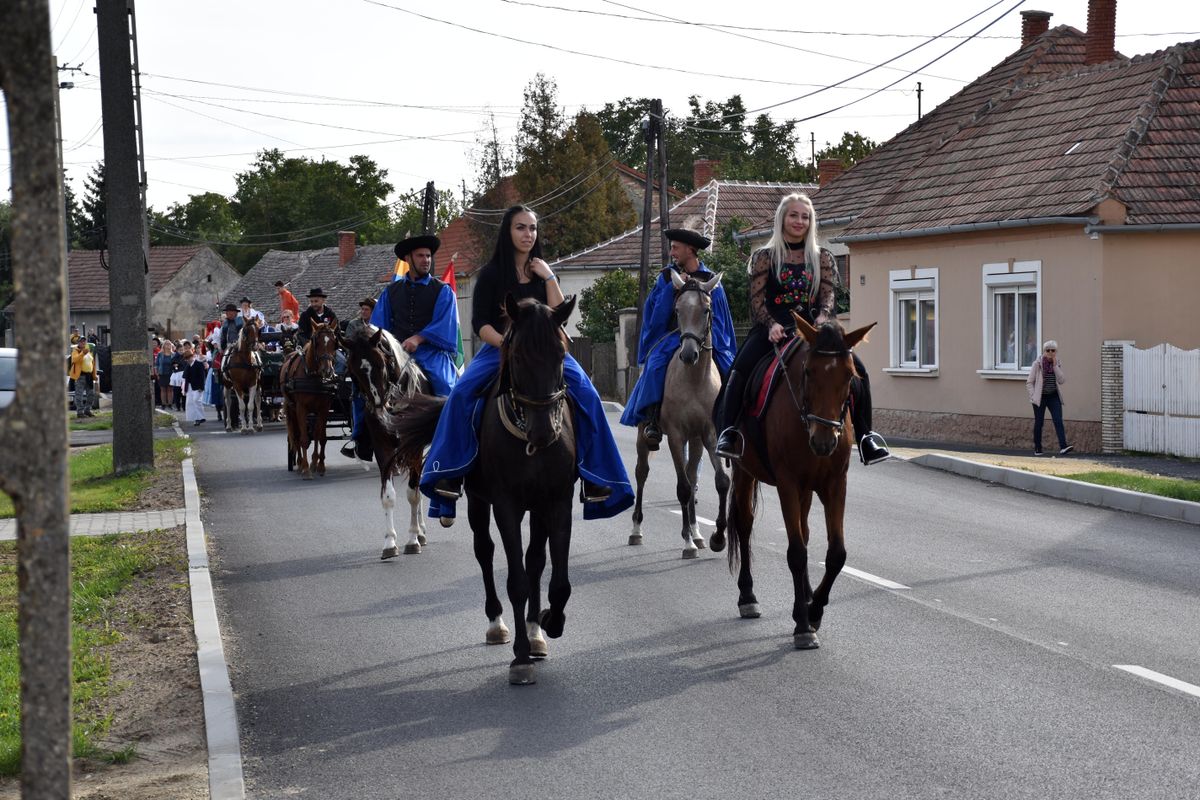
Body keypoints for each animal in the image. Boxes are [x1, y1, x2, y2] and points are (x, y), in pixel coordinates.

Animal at [279, 321, 338, 482]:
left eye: (334, 342)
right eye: (316, 342)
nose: (327, 371)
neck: (313, 375)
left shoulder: (324, 408)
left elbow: (321, 437)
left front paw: (320, 465)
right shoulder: (301, 408)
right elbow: (304, 439)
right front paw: (305, 469)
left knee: (314, 434)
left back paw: (314, 462)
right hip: (292, 409)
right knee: (297, 435)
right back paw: (300, 464)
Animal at [343, 328, 436, 561]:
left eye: (380, 363)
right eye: (353, 370)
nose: (378, 405)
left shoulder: (414, 447)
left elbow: (413, 494)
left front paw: (412, 539)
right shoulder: (382, 447)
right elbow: (388, 496)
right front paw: (390, 542)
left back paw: (420, 532)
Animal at [396, 297, 578, 686]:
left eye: (561, 353)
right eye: (519, 355)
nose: (544, 433)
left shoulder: (557, 502)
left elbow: (557, 581)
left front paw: (549, 623)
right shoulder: (505, 505)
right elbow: (516, 581)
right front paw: (521, 658)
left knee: (535, 561)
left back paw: (536, 632)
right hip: (479, 504)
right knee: (485, 552)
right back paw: (497, 624)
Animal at [628, 268, 729, 556]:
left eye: (706, 310)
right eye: (677, 309)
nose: (688, 354)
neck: (694, 380)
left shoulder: (709, 433)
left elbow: (720, 482)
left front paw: (717, 537)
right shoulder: (675, 435)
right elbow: (682, 488)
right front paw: (687, 543)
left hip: (695, 440)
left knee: (692, 474)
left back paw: (697, 533)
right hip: (644, 436)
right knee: (642, 473)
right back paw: (637, 530)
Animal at [705, 311, 878, 652]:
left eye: (850, 376)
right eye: (808, 371)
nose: (824, 442)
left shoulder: (835, 484)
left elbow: (836, 553)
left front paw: (815, 609)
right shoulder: (787, 483)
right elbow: (796, 552)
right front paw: (802, 624)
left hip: (807, 490)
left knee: (806, 532)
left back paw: (808, 594)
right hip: (745, 472)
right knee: (744, 525)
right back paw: (748, 596)